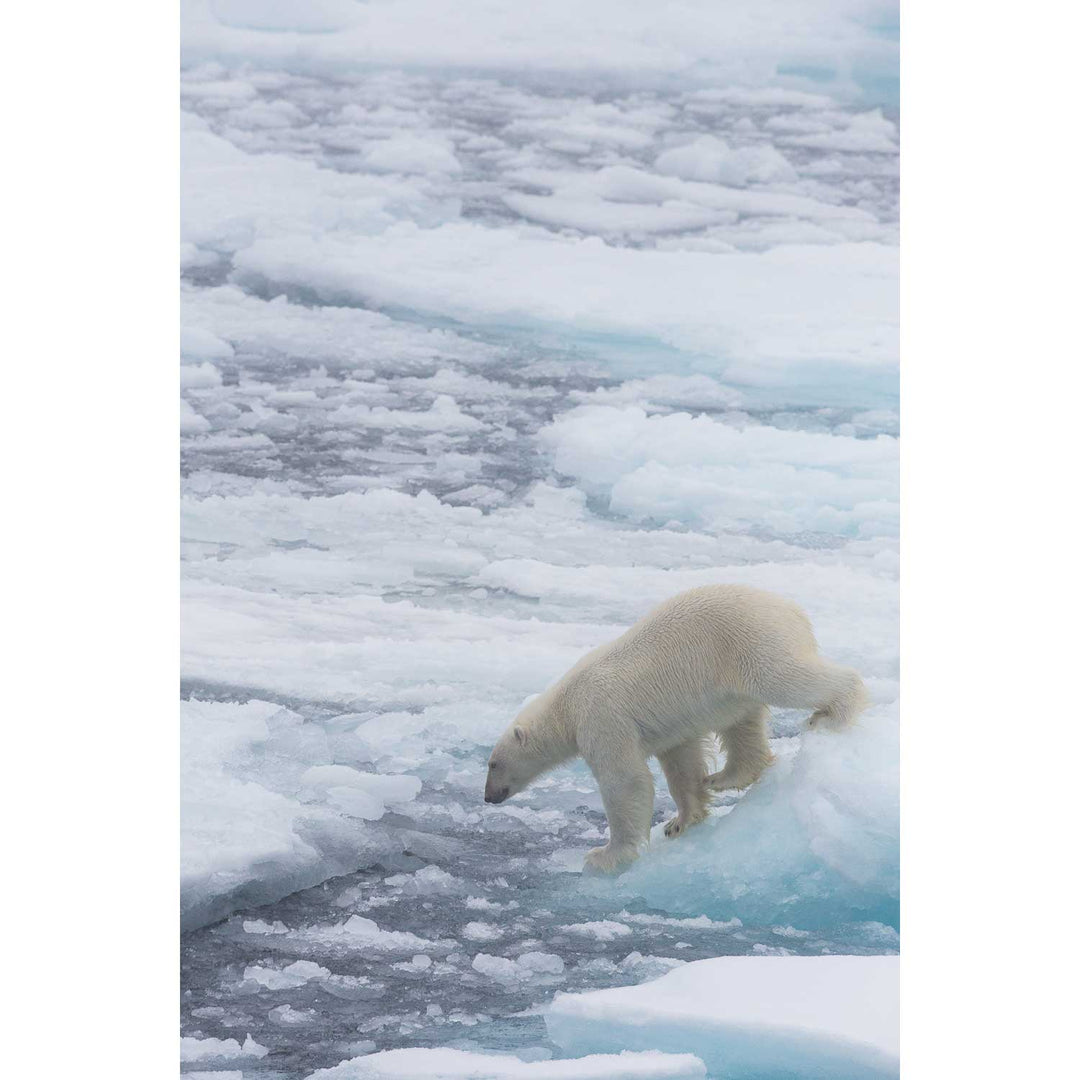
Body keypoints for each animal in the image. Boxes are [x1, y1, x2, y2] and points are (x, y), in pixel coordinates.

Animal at [483, 587, 868, 872]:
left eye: (493, 763)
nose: (488, 796)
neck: (567, 704)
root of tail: (794, 610)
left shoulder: (602, 717)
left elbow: (625, 781)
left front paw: (603, 855)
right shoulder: (667, 727)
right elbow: (681, 761)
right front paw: (680, 821)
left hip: (752, 643)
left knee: (788, 680)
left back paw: (830, 715)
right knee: (742, 724)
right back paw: (723, 777)